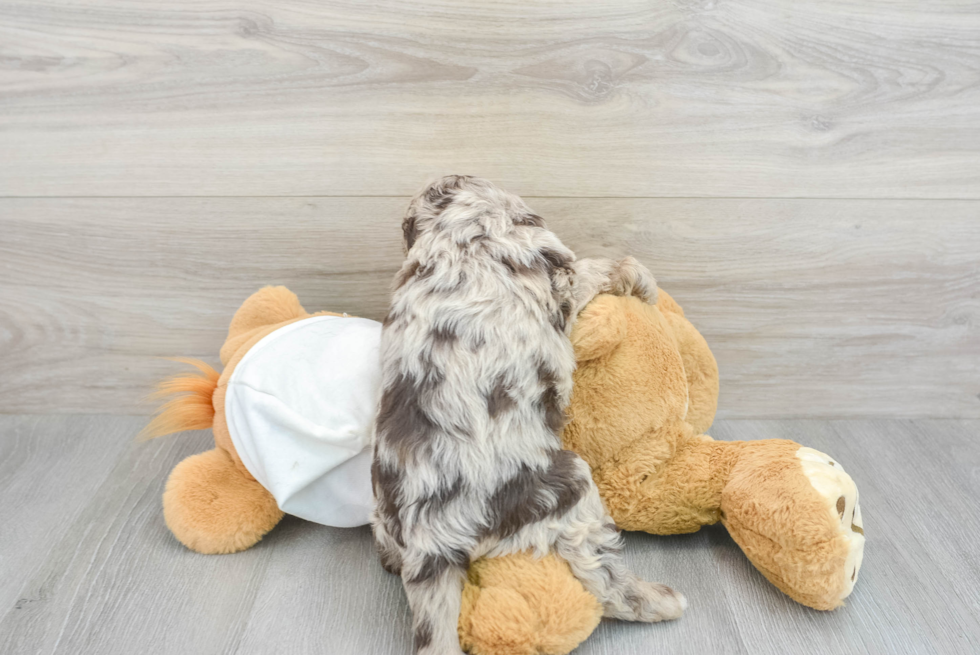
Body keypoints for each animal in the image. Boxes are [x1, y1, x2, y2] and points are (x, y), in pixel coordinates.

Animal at [372, 177, 684, 652]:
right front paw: (640, 281)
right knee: (603, 577)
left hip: (383, 511)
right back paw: (660, 600)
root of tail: (431, 539)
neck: (461, 231)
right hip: (570, 491)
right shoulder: (562, 275)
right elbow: (600, 266)